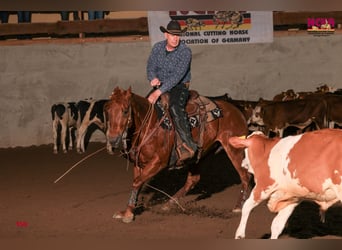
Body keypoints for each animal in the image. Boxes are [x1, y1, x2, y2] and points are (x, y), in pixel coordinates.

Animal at [104, 87, 251, 224]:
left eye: (125, 111)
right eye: (107, 111)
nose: (113, 140)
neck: (149, 125)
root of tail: (237, 110)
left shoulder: (158, 162)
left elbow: (136, 182)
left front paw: (129, 214)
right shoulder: (139, 163)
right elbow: (137, 183)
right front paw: (128, 211)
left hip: (234, 150)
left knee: (245, 176)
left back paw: (238, 207)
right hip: (198, 156)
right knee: (193, 179)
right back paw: (169, 204)